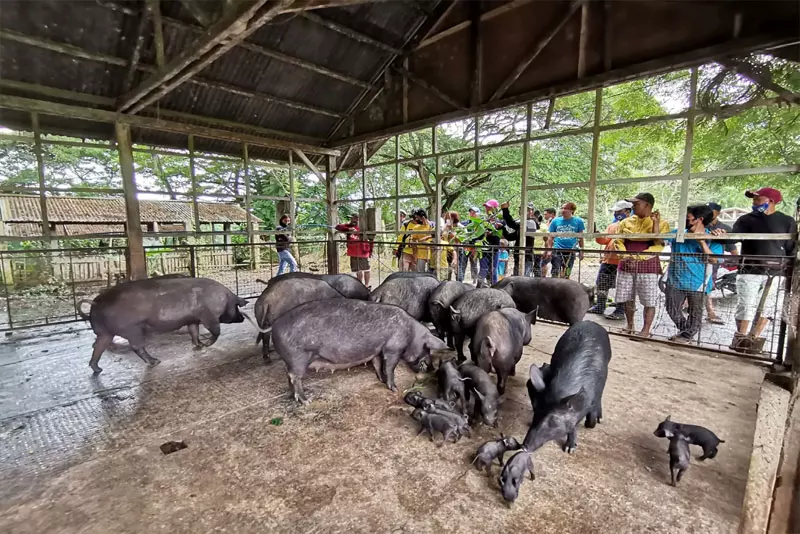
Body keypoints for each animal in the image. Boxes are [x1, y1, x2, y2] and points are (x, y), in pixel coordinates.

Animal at [78, 278, 260, 374]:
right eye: (236, 306)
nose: (242, 318)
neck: (224, 298)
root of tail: (95, 302)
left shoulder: (192, 319)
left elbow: (194, 332)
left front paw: (199, 346)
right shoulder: (208, 316)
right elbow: (216, 331)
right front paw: (207, 344)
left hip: (105, 332)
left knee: (98, 346)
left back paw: (97, 369)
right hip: (132, 329)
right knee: (137, 347)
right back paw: (156, 362)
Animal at [268, 300, 444, 404]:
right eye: (426, 348)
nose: (431, 368)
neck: (411, 333)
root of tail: (275, 325)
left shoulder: (377, 350)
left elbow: (377, 365)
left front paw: (381, 380)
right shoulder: (393, 348)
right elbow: (390, 367)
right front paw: (394, 389)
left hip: (291, 360)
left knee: (288, 376)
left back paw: (293, 396)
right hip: (298, 358)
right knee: (294, 377)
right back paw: (306, 401)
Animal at [520, 322, 608, 456]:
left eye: (554, 420)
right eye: (536, 411)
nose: (524, 446)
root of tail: (591, 322)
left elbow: (588, 420)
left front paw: (569, 450)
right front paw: (569, 449)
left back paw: (600, 419)